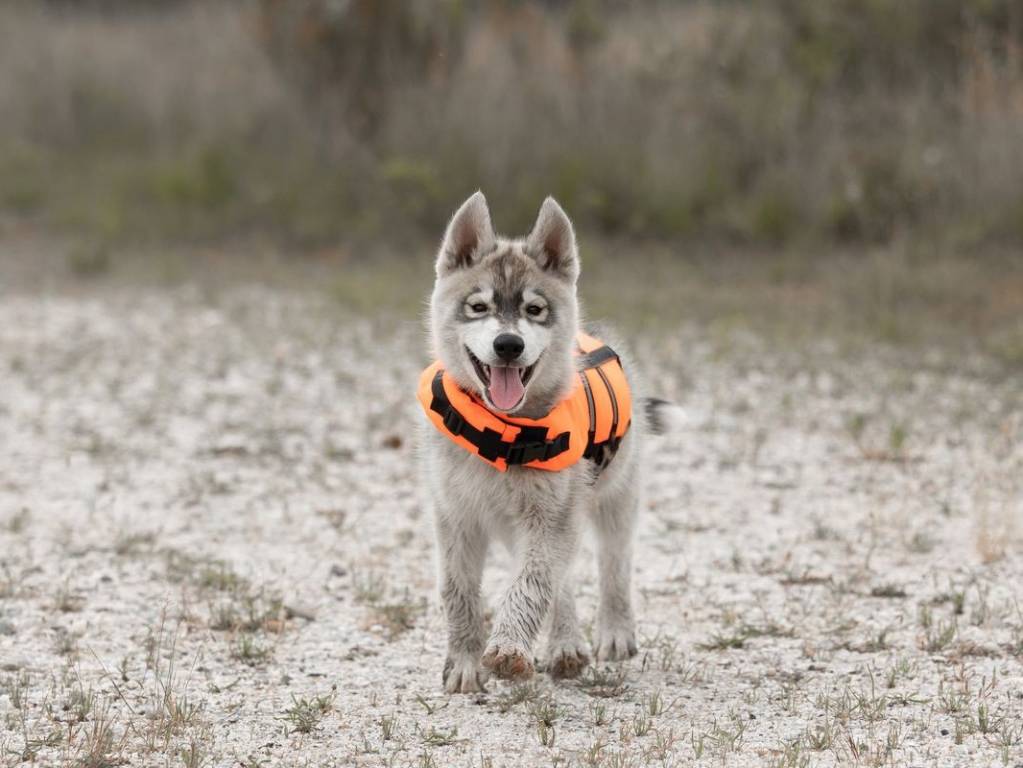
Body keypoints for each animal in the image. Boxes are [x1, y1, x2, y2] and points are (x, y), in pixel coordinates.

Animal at [419, 193, 675, 695]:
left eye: (535, 310)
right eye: (478, 306)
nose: (508, 344)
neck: (499, 429)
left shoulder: (548, 517)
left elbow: (533, 584)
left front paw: (508, 647)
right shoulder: (457, 518)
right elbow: (458, 592)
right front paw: (464, 660)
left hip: (614, 501)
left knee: (613, 566)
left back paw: (610, 631)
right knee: (566, 576)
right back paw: (567, 642)